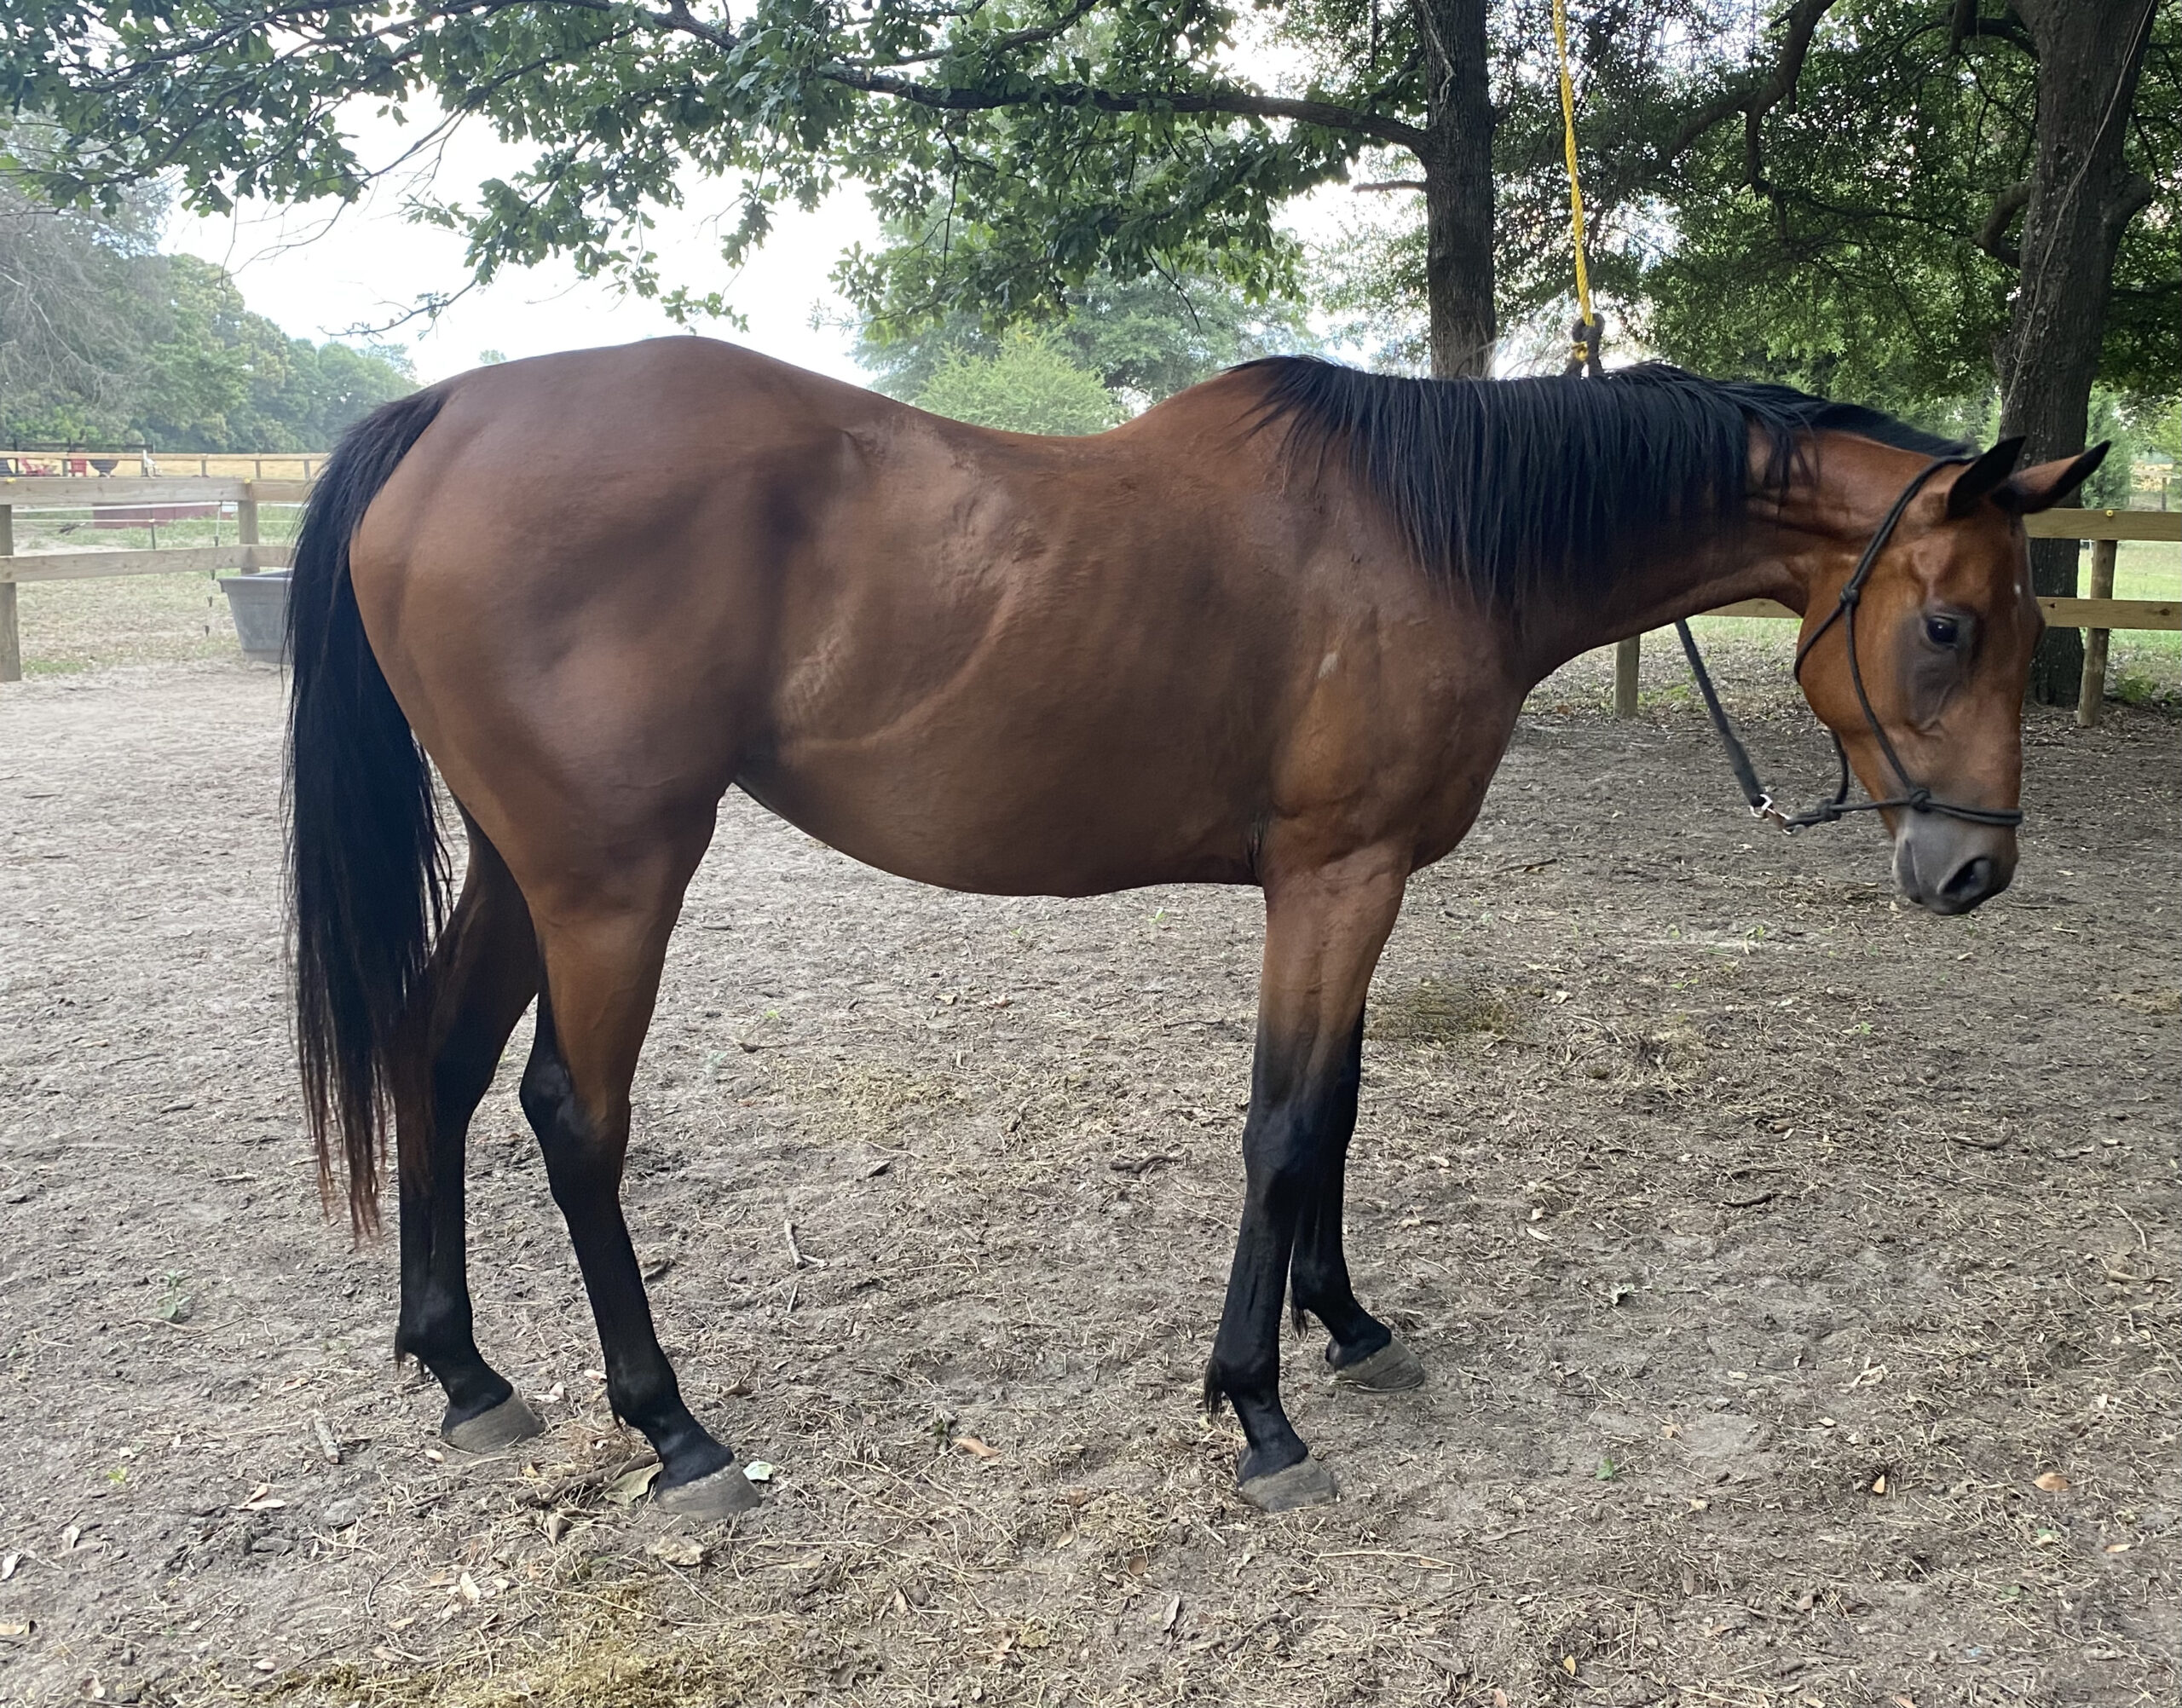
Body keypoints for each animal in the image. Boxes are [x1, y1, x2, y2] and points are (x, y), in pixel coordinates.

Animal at [286, 341, 2102, 1515]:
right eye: (1950, 625)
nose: (1975, 871)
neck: (1432, 532)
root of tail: (447, 412)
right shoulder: (1335, 874)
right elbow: (1284, 1122)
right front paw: (1259, 1408)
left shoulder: (1362, 881)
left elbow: (1339, 1111)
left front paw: (1347, 1324)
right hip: (613, 877)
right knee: (572, 1116)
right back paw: (675, 1431)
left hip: (528, 868)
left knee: (434, 1058)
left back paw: (464, 1371)